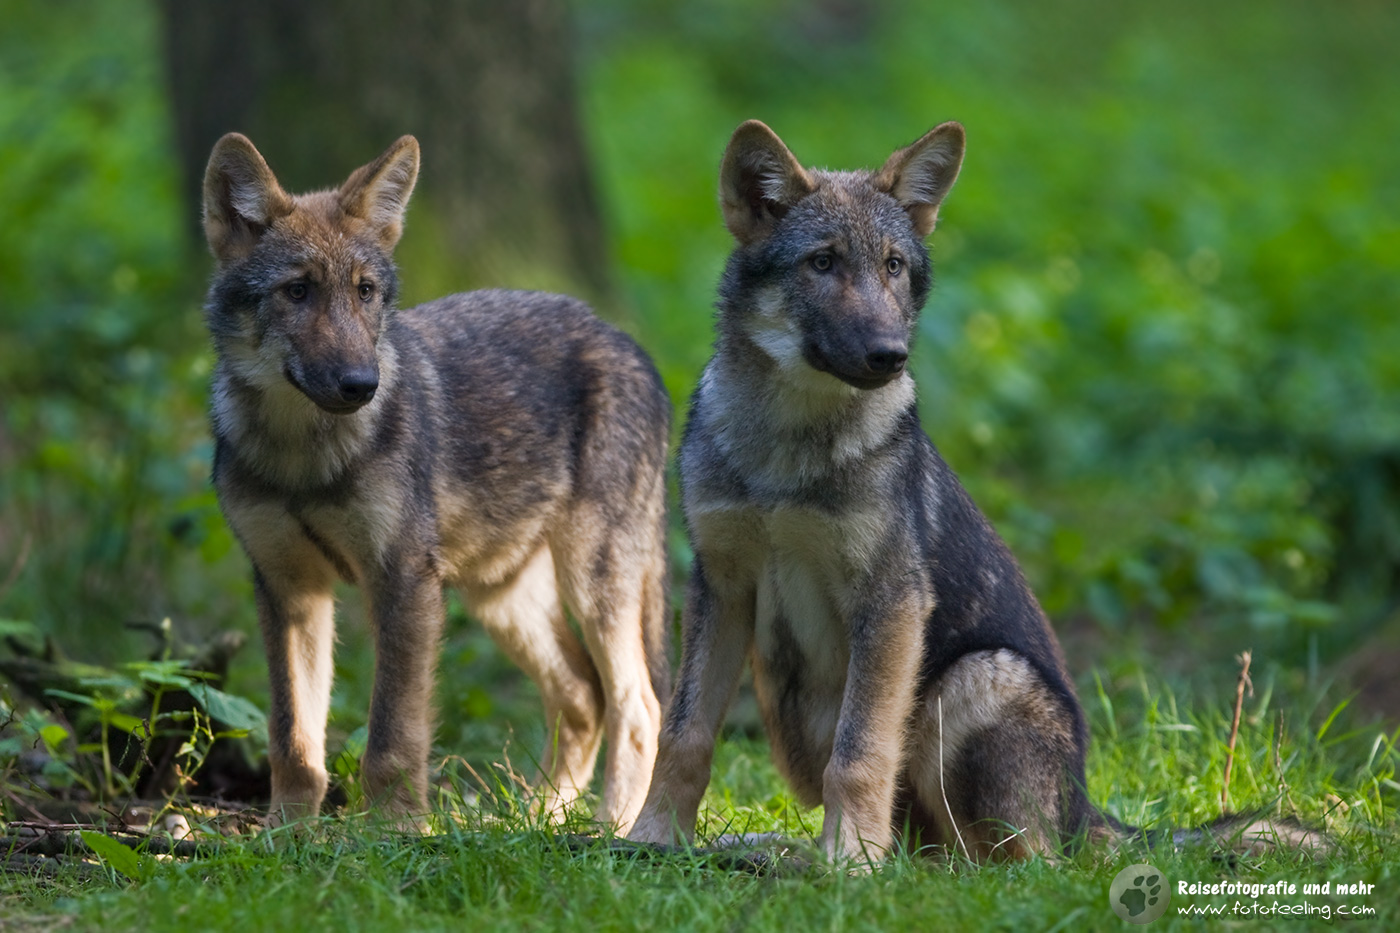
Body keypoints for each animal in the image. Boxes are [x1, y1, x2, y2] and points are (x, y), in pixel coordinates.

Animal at [201, 133, 671, 831]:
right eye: (297, 291)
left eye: (366, 292)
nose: (361, 385)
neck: (303, 456)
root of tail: (631, 345)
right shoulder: (288, 589)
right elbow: (293, 738)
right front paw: (286, 836)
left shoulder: (403, 580)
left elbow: (394, 736)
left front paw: (394, 831)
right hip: (501, 599)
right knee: (583, 698)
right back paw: (535, 822)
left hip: (592, 586)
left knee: (638, 706)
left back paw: (614, 831)